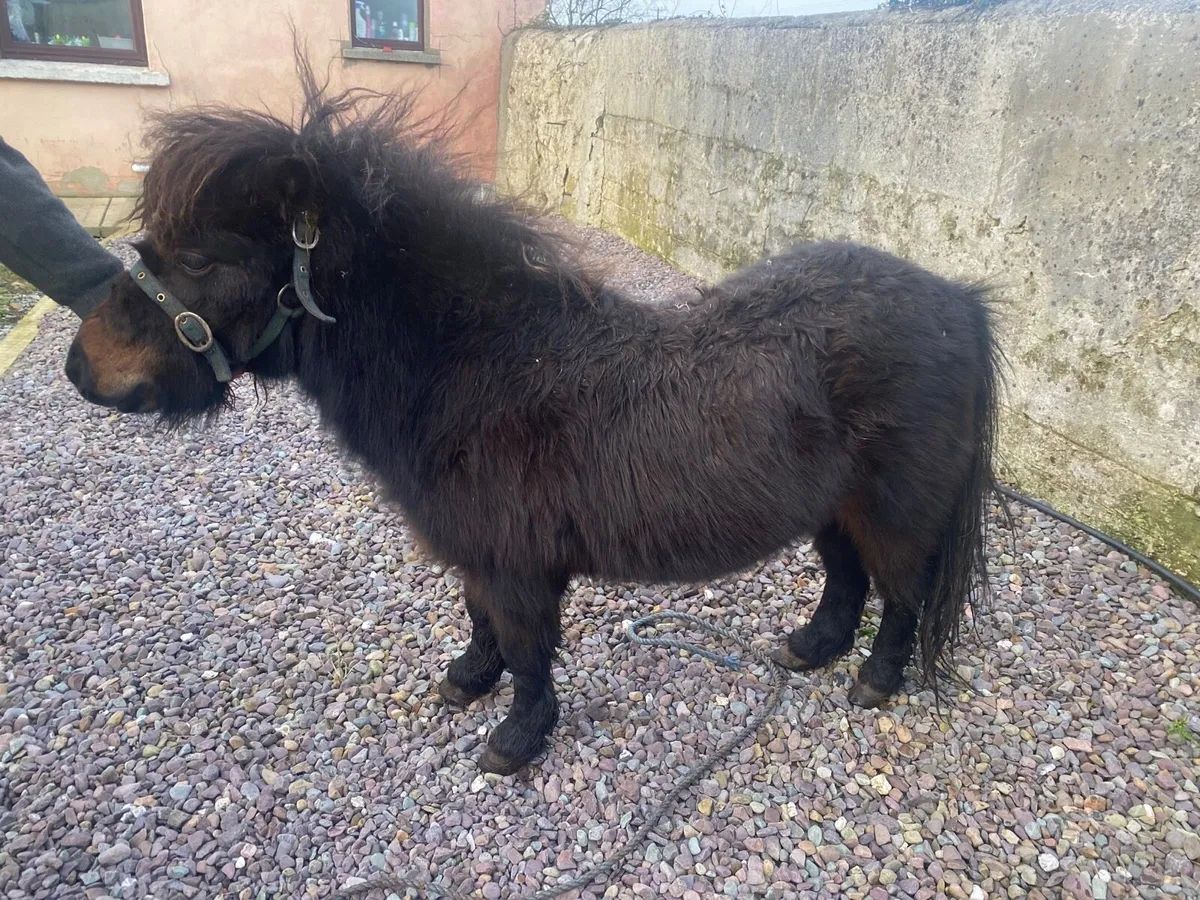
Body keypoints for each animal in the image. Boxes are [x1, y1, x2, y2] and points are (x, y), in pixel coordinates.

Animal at [64, 66, 1002, 776]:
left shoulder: (515, 564)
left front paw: (516, 740)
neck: (478, 363)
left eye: (199, 258)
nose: (80, 367)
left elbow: (524, 648)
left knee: (902, 593)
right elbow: (480, 623)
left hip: (895, 510)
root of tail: (957, 300)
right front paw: (465, 680)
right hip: (832, 507)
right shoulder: (478, 552)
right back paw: (811, 647)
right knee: (846, 579)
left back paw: (874, 680)